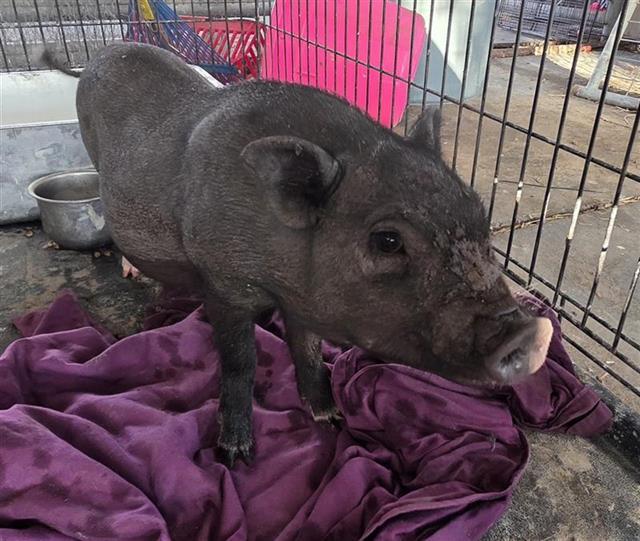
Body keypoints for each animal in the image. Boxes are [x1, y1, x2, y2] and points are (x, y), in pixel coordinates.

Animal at [43, 43, 552, 466]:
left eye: (480, 214)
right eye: (388, 241)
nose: (534, 332)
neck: (279, 278)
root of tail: (99, 55)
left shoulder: (302, 301)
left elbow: (308, 351)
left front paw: (331, 419)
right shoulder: (223, 283)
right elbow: (241, 363)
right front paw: (235, 456)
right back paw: (130, 270)